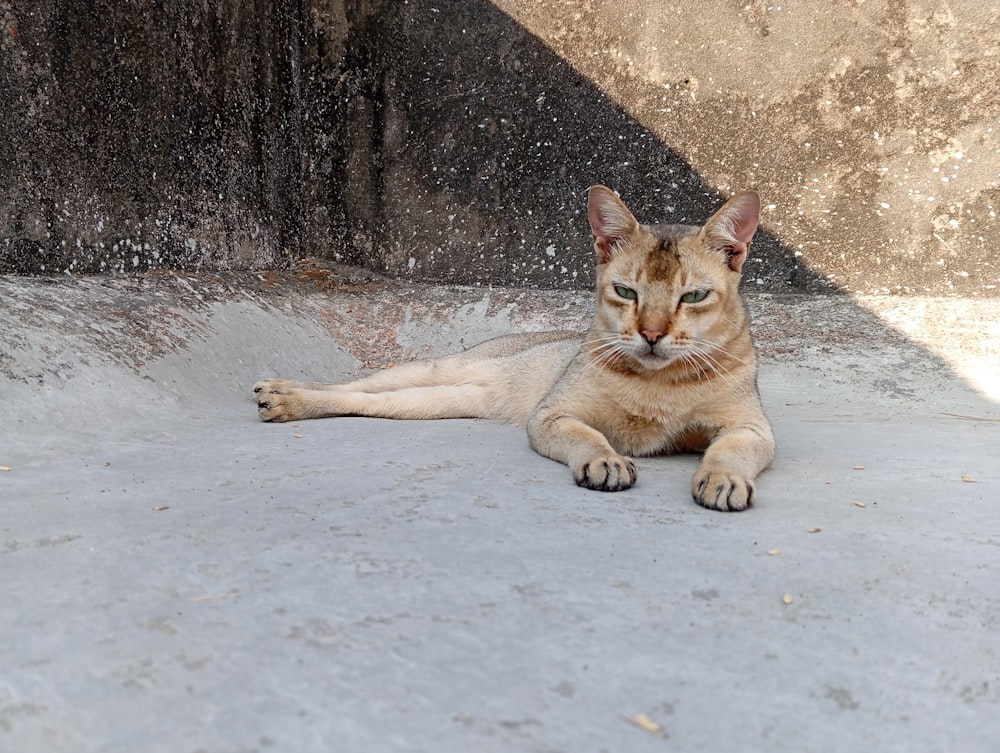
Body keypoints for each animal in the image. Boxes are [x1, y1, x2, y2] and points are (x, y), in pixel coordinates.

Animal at [254, 184, 776, 508]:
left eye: (694, 297)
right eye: (627, 292)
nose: (651, 334)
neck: (658, 383)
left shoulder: (752, 427)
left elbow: (732, 449)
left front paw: (724, 479)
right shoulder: (553, 414)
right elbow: (586, 436)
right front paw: (605, 459)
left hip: (437, 402)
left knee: (368, 402)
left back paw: (286, 401)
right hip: (438, 368)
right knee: (356, 385)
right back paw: (281, 393)